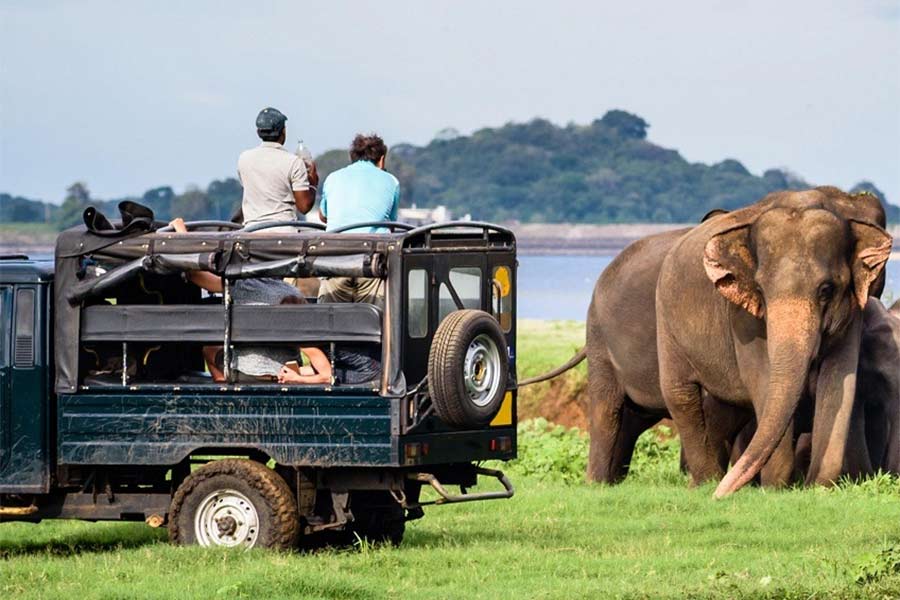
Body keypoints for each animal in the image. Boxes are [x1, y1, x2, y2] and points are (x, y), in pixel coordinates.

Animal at [656, 188, 896, 496]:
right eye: (760, 290)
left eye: (826, 290)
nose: (719, 496)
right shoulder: (743, 317)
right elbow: (762, 378)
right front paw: (775, 488)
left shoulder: (853, 310)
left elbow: (840, 379)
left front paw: (818, 486)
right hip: (666, 322)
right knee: (680, 394)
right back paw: (705, 482)